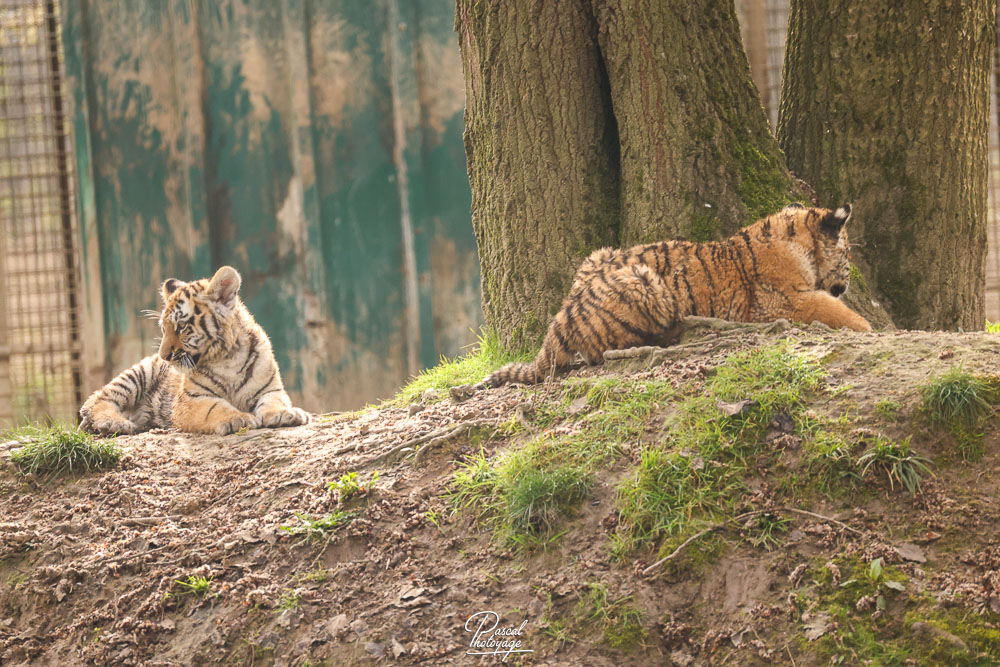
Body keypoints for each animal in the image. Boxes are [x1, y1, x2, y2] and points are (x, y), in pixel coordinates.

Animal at [79, 266, 311, 436]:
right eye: (163, 329)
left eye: (181, 326)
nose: (164, 356)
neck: (228, 358)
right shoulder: (191, 399)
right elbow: (215, 407)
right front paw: (238, 418)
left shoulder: (270, 389)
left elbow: (274, 401)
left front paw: (285, 414)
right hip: (138, 373)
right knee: (97, 399)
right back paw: (114, 423)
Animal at [482, 203, 871, 387]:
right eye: (848, 254)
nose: (849, 282)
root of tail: (561, 317)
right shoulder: (787, 300)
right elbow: (837, 311)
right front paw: (868, 328)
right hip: (643, 283)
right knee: (608, 351)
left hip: (601, 255)